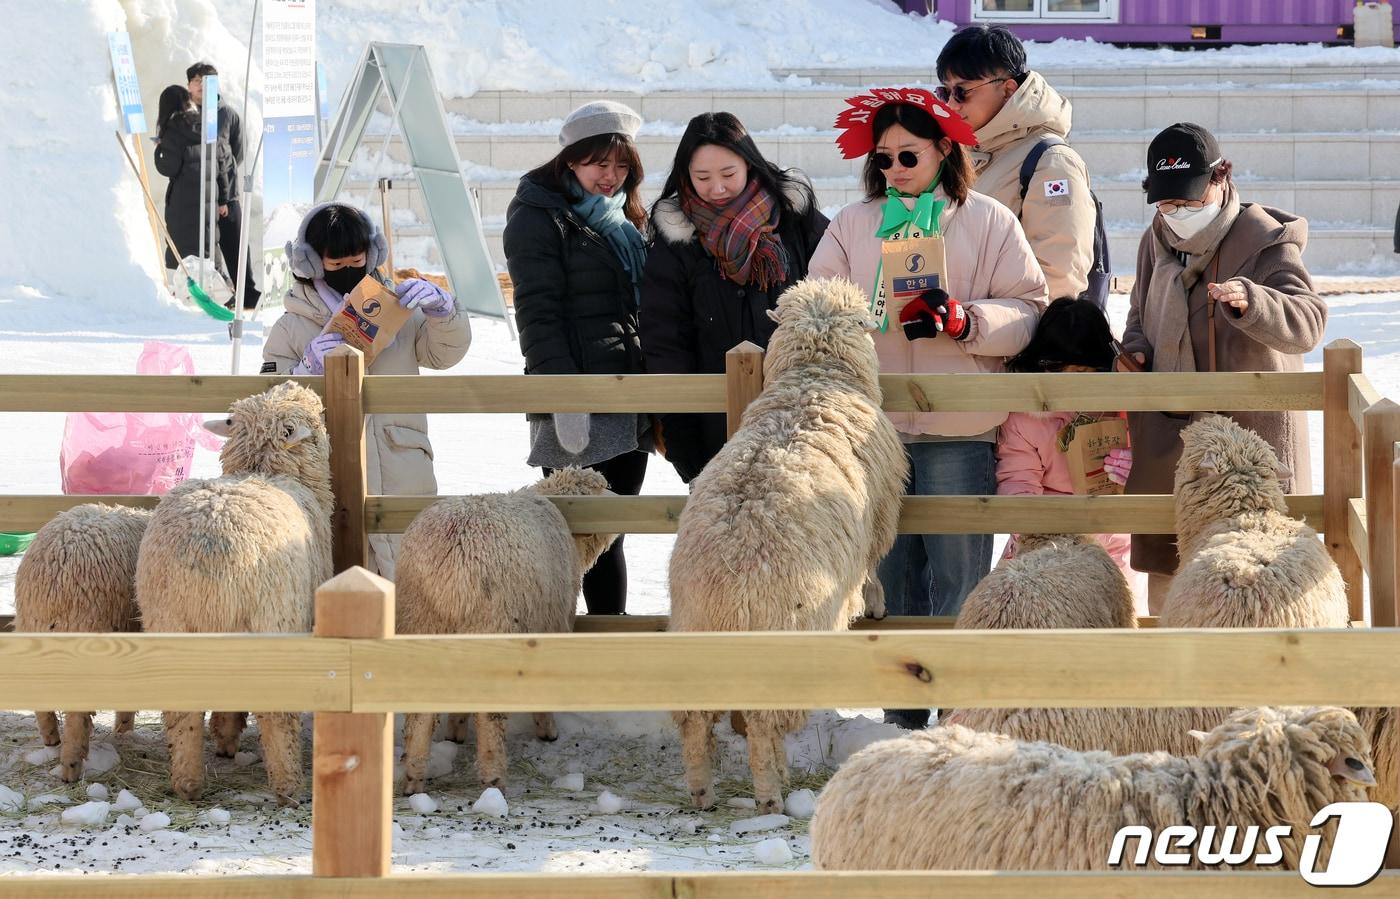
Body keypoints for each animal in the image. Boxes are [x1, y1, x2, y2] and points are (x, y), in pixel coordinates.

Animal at [135, 380, 333, 806]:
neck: (263, 469)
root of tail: (212, 545)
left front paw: (225, 736)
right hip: (272, 619)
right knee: (276, 710)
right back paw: (288, 785)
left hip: (171, 622)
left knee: (182, 711)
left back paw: (188, 783)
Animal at [392, 464, 616, 789]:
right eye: (598, 488)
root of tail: (450, 564)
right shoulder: (550, 625)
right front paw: (547, 730)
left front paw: (455, 730)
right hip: (492, 627)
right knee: (490, 715)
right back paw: (493, 775)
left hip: (421, 622)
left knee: (419, 713)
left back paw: (413, 776)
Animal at [666, 274, 907, 812]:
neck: (814, 378)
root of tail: (728, 593)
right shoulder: (880, 517)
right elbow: (874, 565)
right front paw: (877, 603)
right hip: (785, 643)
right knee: (762, 727)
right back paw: (772, 792)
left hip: (696, 642)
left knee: (694, 723)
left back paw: (701, 791)